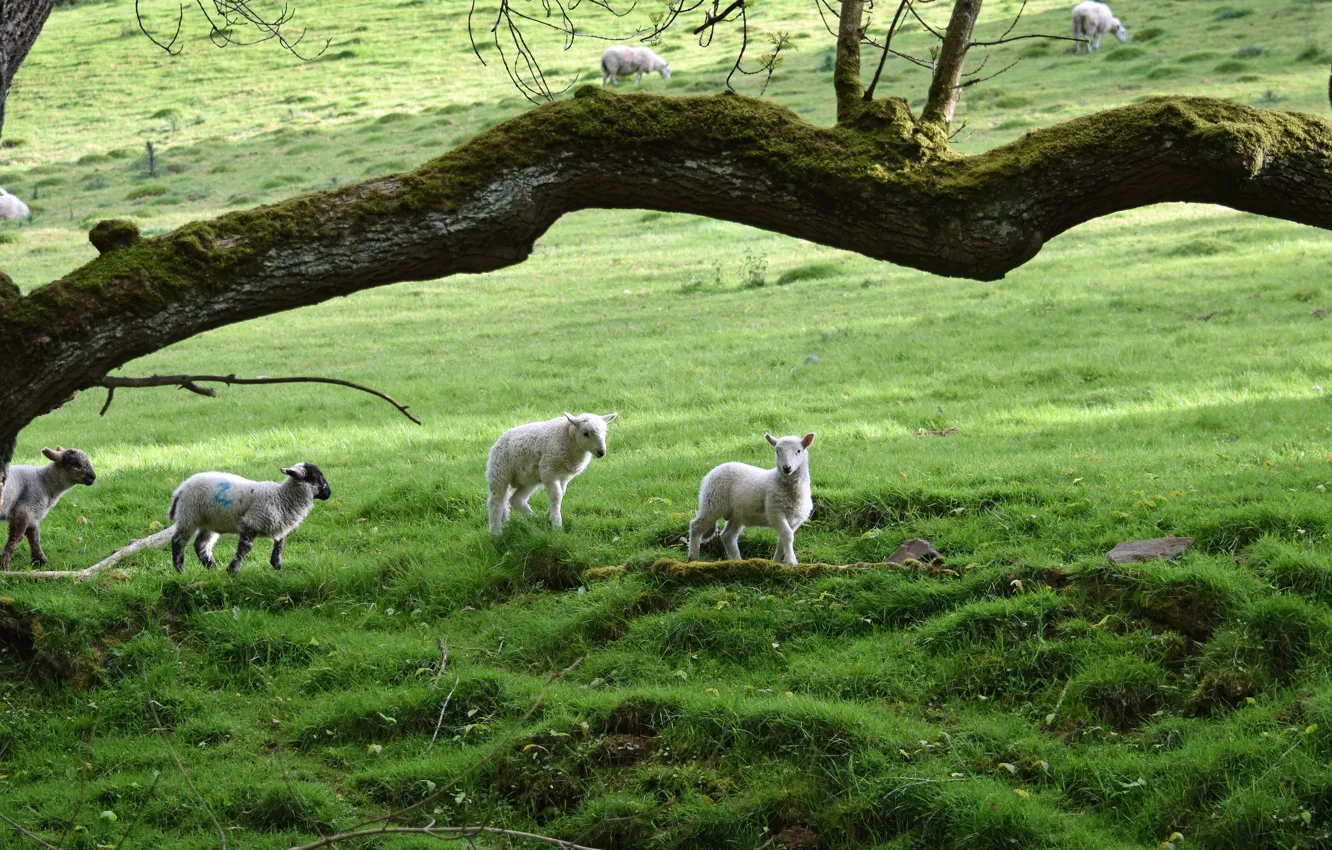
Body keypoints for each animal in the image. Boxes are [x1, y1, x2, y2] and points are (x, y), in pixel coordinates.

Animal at [168, 462, 331, 574]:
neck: (281, 497)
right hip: (188, 516)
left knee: (201, 545)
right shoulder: (252, 522)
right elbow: (246, 547)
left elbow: (279, 544)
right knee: (178, 541)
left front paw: (277, 566)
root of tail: (180, 490)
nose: (329, 493)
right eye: (317, 477)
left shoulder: (279, 525)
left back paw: (212, 568)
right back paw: (181, 570)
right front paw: (232, 571)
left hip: (210, 522)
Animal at [487, 411, 618, 535]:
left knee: (516, 499)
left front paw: (549, 516)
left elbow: (561, 494)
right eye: (585, 433)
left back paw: (534, 518)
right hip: (499, 472)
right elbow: (556, 496)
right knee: (496, 502)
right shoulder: (549, 472)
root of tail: (500, 438)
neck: (568, 438)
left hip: (529, 477)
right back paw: (496, 532)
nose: (601, 452)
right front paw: (556, 524)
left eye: (605, 431)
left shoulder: (564, 476)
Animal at [688, 432, 815, 566]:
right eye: (777, 451)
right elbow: (787, 535)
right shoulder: (775, 512)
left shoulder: (796, 520)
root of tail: (714, 470)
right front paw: (791, 561)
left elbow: (782, 541)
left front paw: (776, 561)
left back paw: (737, 561)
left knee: (728, 535)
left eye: (798, 451)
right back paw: (693, 558)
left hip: (736, 514)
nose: (786, 467)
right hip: (712, 502)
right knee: (696, 526)